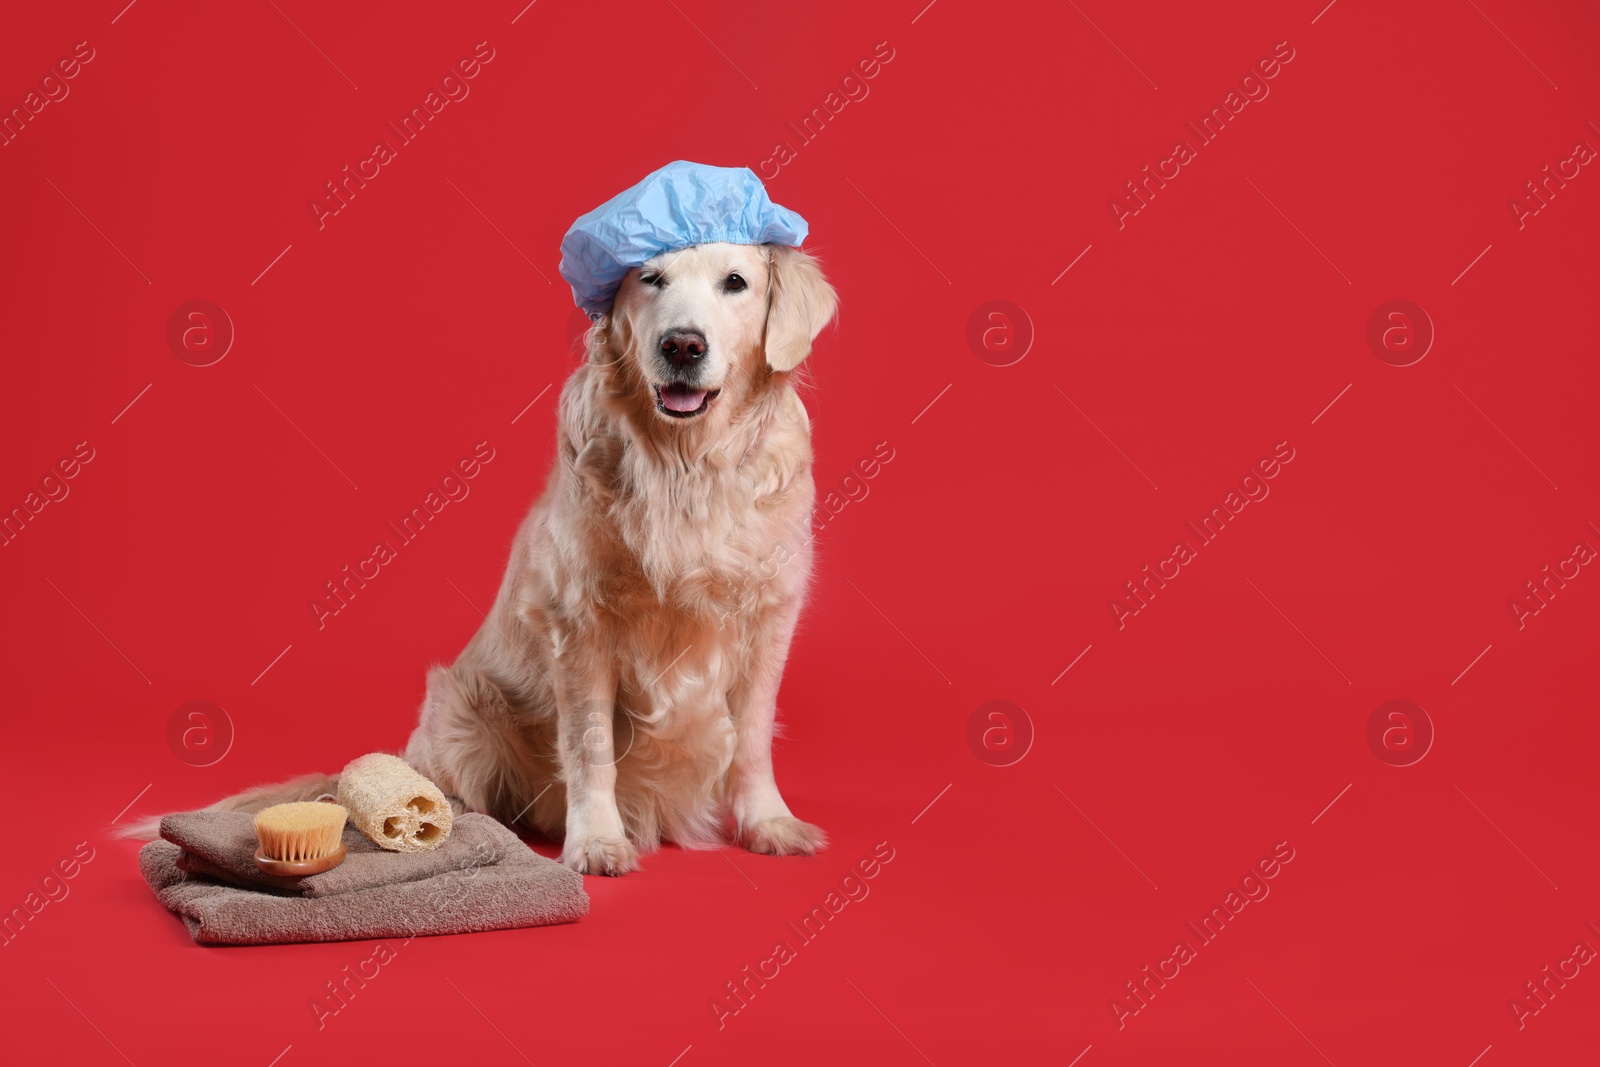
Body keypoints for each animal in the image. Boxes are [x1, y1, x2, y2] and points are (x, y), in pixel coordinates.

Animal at [156, 241, 844, 876]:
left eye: (736, 283)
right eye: (651, 279)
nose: (681, 346)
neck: (685, 467)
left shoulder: (769, 618)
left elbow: (751, 740)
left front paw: (768, 824)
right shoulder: (581, 628)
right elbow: (589, 747)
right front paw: (597, 841)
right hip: (462, 709)